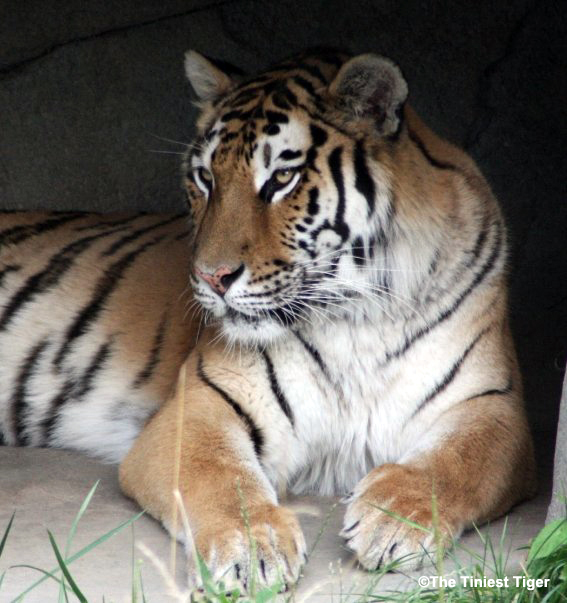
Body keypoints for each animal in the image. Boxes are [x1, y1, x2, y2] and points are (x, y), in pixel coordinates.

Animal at [0, 49, 536, 592]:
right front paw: (251, 547)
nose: (211, 277)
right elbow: (221, 475)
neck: (357, 314)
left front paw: (394, 520)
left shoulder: (495, 405)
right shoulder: (199, 404)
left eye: (281, 179)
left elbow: (457, 463)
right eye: (205, 178)